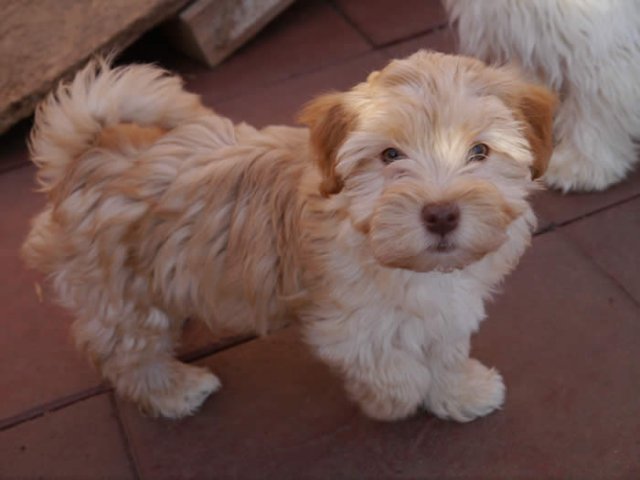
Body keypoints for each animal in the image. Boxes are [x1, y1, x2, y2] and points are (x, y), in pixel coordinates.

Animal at [22, 51, 555, 422]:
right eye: (390, 156)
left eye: (479, 151)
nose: (441, 213)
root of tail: (86, 153)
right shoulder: (350, 324)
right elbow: (393, 367)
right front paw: (390, 404)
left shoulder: (446, 308)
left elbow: (443, 353)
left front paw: (461, 391)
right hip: (120, 293)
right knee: (126, 353)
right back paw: (174, 391)